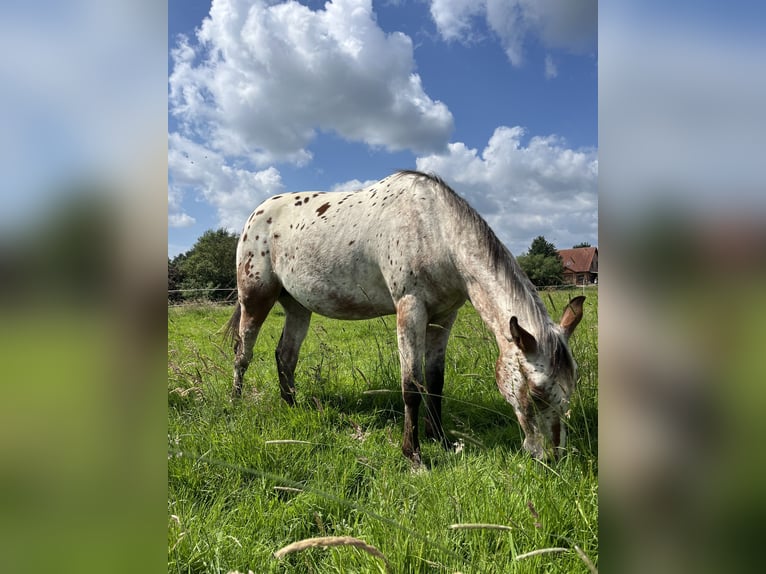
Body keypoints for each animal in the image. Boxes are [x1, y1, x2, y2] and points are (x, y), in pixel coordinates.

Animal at [225, 172, 584, 468]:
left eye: (570, 388)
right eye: (535, 394)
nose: (553, 457)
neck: (436, 230)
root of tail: (257, 213)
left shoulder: (444, 316)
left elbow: (435, 381)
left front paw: (441, 440)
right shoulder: (410, 308)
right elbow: (411, 384)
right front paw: (414, 456)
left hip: (298, 307)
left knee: (285, 356)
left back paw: (292, 406)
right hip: (255, 299)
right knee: (243, 354)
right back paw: (235, 403)